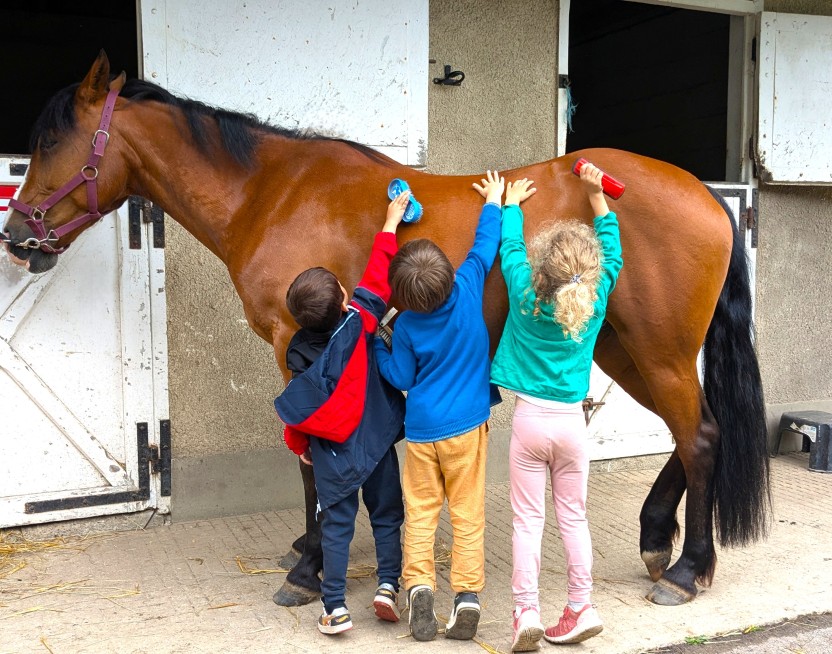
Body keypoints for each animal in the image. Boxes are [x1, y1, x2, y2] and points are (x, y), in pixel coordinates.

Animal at [3, 52, 770, 607]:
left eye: (50, 141)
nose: (16, 237)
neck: (271, 193)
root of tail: (705, 195)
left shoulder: (297, 345)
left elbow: (312, 451)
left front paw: (310, 566)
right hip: (625, 350)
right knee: (690, 432)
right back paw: (657, 537)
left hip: (655, 350)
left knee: (700, 437)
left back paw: (687, 569)